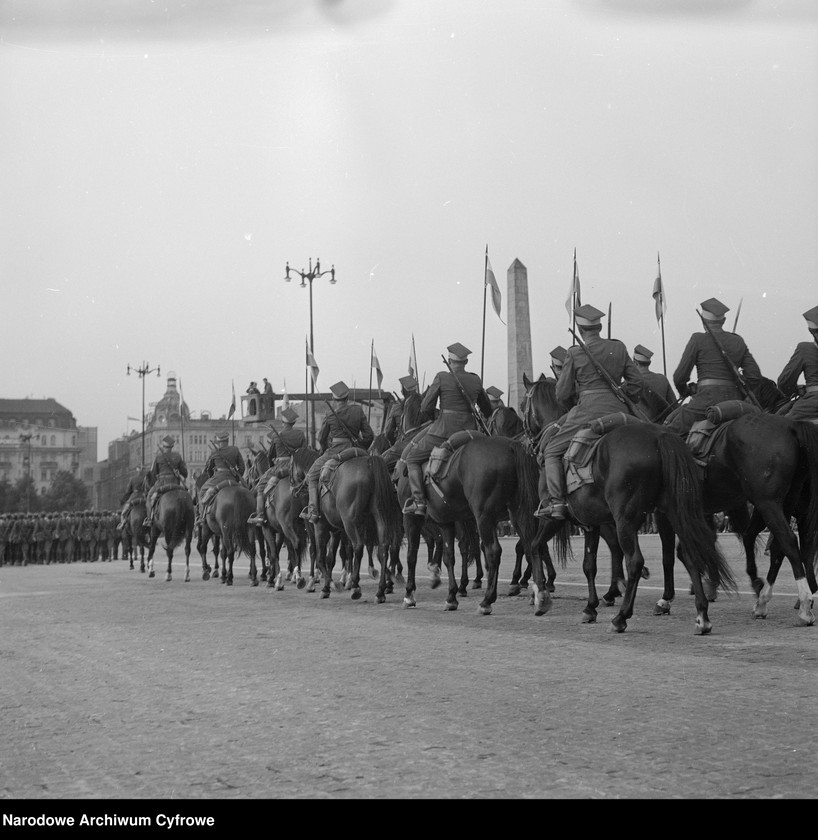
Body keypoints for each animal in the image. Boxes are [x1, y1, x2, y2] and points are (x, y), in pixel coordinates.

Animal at [524, 378, 736, 632]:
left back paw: (621, 617)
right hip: (674, 512)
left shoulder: (554, 518)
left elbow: (535, 546)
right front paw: (590, 607)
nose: (526, 440)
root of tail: (659, 435)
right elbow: (589, 565)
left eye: (524, 405)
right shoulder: (591, 523)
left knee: (635, 560)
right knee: (690, 552)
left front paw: (541, 596)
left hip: (626, 519)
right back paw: (702, 615)